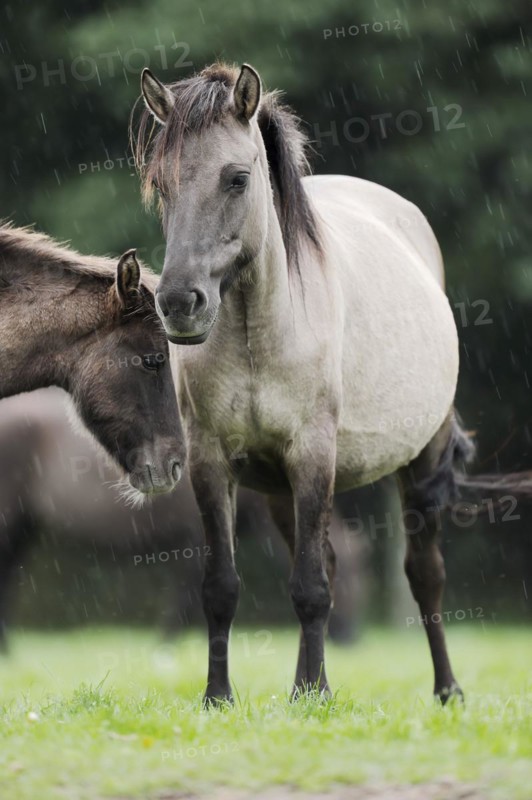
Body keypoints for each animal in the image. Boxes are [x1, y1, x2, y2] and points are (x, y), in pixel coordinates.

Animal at [132, 62, 531, 705]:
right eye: (161, 185)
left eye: (237, 178)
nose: (179, 304)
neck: (259, 330)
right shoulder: (213, 461)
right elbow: (223, 586)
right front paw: (220, 696)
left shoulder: (313, 453)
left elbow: (312, 587)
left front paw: (311, 688)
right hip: (276, 489)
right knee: (328, 564)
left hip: (420, 461)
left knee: (424, 575)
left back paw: (446, 690)